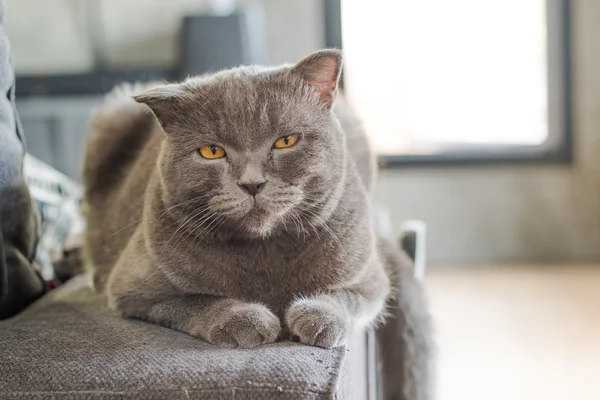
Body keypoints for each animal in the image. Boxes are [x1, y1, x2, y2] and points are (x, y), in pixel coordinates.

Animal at [82, 50, 404, 354]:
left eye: (286, 141)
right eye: (211, 151)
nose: (252, 183)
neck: (264, 251)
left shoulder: (371, 279)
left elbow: (346, 297)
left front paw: (319, 318)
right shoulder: (133, 291)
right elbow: (193, 301)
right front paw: (246, 321)